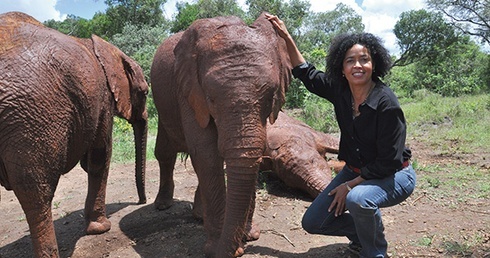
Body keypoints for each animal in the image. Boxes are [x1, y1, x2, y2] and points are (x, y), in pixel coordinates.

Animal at [0, 11, 147, 258]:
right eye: (144, 93)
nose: (142, 201)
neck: (107, 48)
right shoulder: (103, 99)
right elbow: (100, 157)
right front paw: (100, 229)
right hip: (31, 116)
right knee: (36, 193)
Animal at [150, 12, 290, 258]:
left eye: (270, 96)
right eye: (211, 99)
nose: (238, 250)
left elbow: (254, 152)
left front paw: (249, 235)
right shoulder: (189, 89)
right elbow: (206, 153)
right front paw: (215, 247)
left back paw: (199, 216)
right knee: (165, 152)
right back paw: (163, 205)